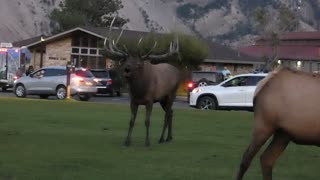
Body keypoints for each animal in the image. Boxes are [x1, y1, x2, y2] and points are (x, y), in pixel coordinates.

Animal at [104, 16, 180, 146]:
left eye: (138, 64)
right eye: (126, 61)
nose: (127, 70)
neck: (139, 91)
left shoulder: (150, 101)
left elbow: (147, 121)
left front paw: (147, 142)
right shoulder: (133, 101)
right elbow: (131, 121)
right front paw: (127, 141)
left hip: (171, 95)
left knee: (167, 115)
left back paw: (162, 138)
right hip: (162, 99)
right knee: (171, 113)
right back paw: (169, 137)